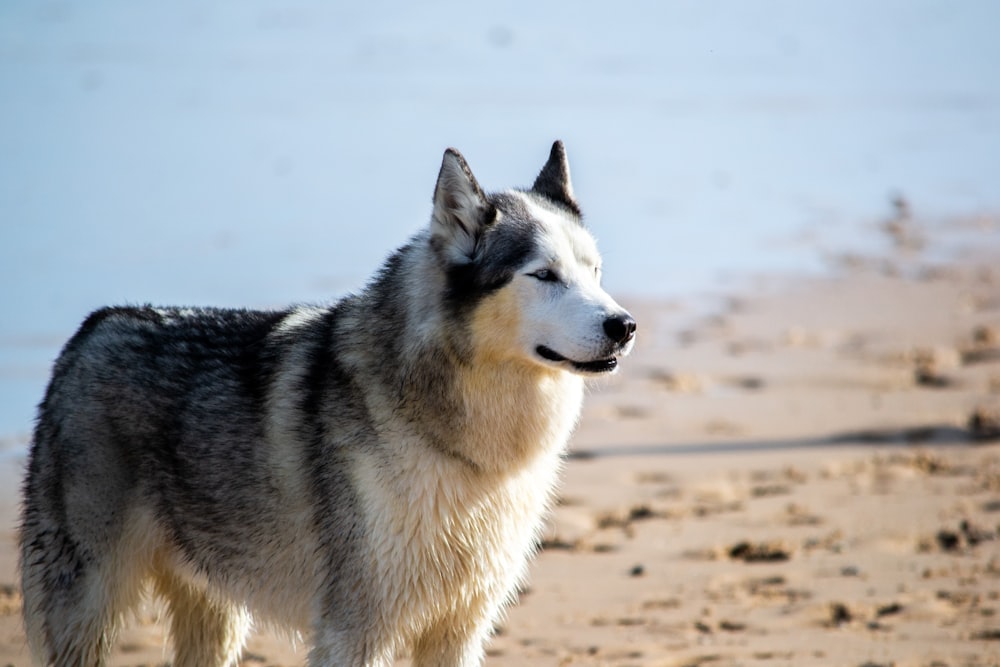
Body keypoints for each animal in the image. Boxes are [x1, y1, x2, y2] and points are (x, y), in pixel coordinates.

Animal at [21, 142, 632, 667]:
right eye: (544, 275)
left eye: (595, 272)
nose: (624, 325)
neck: (460, 445)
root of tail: (95, 324)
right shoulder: (354, 631)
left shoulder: (459, 629)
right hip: (90, 608)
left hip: (217, 619)